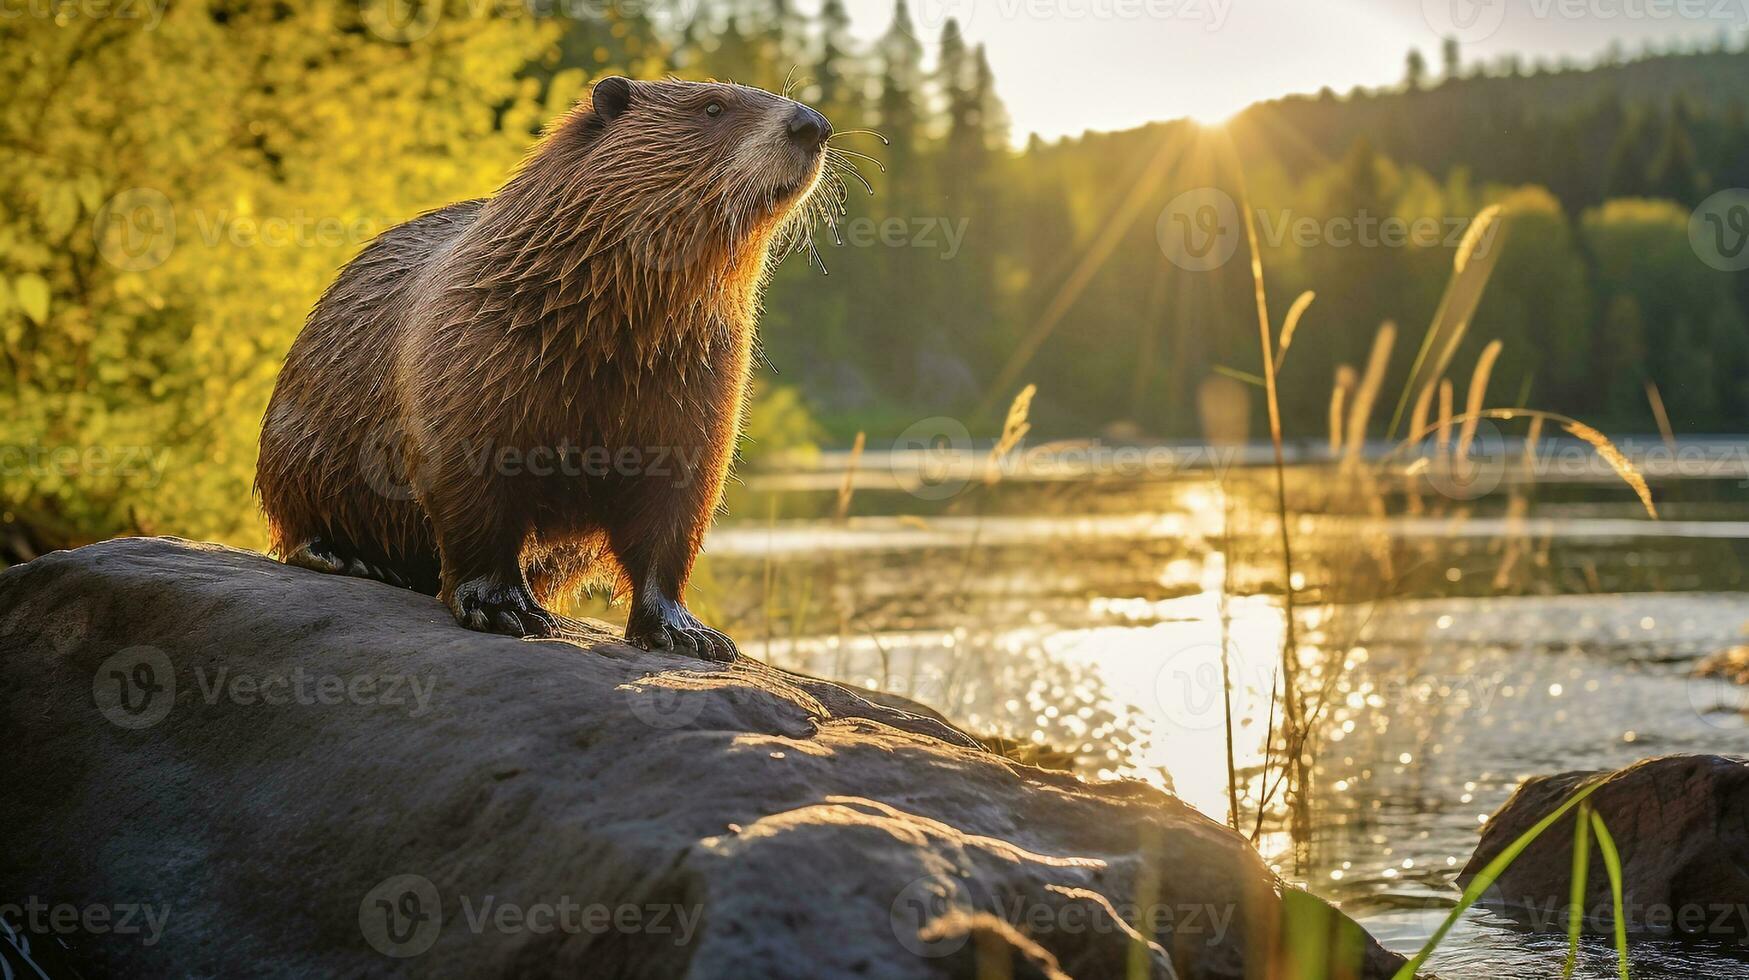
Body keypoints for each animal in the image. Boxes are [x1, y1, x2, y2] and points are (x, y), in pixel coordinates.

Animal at [255, 76, 839, 658]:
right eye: (713, 106)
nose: (812, 125)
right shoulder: (465, 352)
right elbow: (472, 490)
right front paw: (503, 609)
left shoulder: (707, 380)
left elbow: (676, 510)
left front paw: (691, 634)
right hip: (296, 442)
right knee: (296, 522)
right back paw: (350, 557)